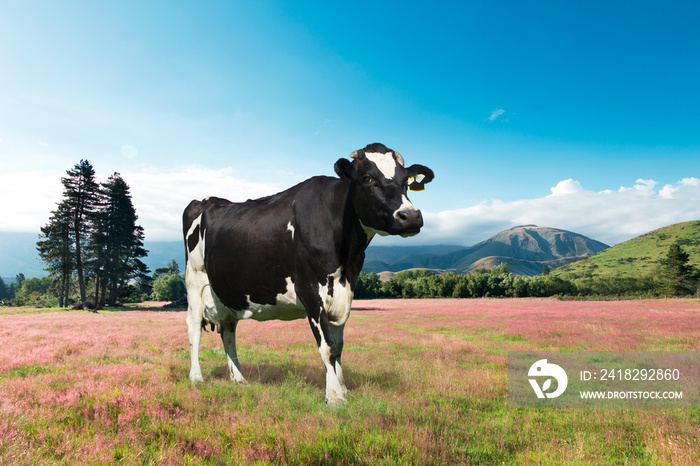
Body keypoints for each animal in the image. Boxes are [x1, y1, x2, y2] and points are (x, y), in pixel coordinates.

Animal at [182, 143, 432, 404]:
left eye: (405, 181)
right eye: (367, 178)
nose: (411, 216)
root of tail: (209, 200)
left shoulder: (345, 290)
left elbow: (338, 345)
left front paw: (342, 388)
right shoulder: (310, 290)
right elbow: (328, 347)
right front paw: (335, 397)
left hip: (228, 292)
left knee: (229, 331)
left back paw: (239, 379)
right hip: (195, 281)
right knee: (194, 327)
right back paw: (196, 377)